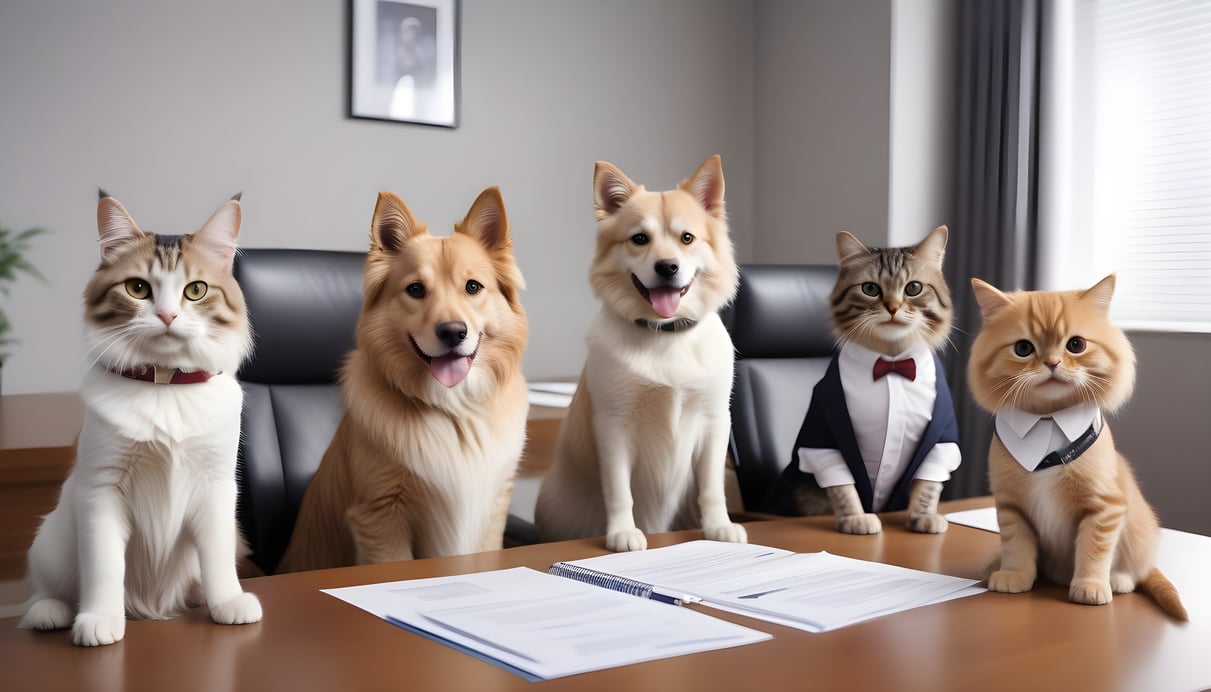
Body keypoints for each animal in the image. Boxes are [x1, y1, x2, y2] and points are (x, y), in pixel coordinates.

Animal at [18, 191, 261, 644]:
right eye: (138, 288)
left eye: (195, 290)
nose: (167, 317)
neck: (165, 387)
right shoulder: (101, 488)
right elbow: (105, 567)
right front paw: (100, 619)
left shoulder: (217, 485)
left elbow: (218, 557)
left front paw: (228, 602)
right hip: (50, 542)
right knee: (47, 590)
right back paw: (51, 612)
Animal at [537, 157, 745, 552]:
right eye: (639, 239)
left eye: (687, 238)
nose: (667, 267)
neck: (665, 334)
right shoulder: (613, 424)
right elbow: (620, 491)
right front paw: (622, 532)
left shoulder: (715, 421)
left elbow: (712, 486)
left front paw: (718, 526)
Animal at [968, 273, 1186, 620]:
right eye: (1023, 348)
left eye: (1076, 345)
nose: (1052, 363)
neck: (1047, 419)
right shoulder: (1011, 506)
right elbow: (1017, 547)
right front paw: (1014, 575)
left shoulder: (1104, 507)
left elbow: (1093, 551)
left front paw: (1091, 586)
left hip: (1138, 535)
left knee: (1137, 570)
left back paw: (1118, 579)